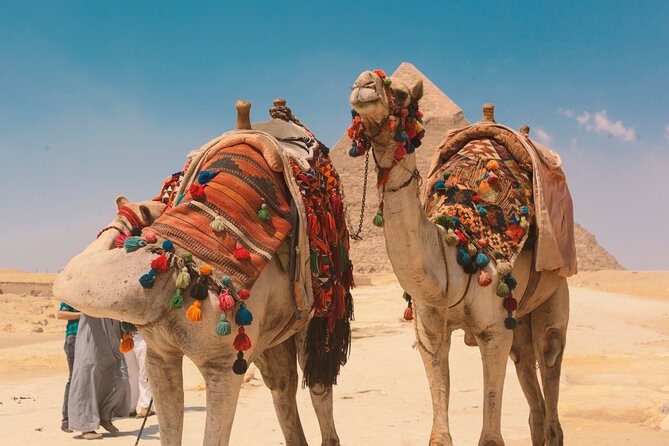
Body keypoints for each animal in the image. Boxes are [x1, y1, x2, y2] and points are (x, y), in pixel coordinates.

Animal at [53, 105, 344, 446]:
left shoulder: (224, 365)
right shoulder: (160, 356)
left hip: (318, 311)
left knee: (318, 380)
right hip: (271, 332)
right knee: (282, 382)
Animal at [348, 70, 571, 446]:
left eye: (402, 93)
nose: (363, 84)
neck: (456, 252)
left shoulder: (494, 331)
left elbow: (491, 438)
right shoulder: (429, 331)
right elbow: (439, 435)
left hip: (555, 294)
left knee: (550, 356)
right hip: (519, 318)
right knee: (529, 376)